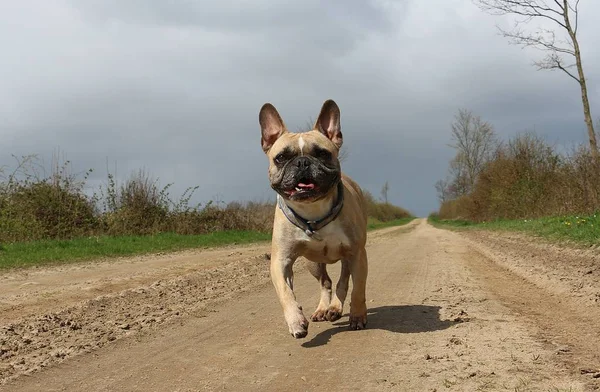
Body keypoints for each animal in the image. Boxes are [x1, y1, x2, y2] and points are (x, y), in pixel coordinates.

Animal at [258, 99, 368, 338]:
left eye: (322, 154)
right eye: (281, 158)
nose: (302, 162)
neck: (313, 209)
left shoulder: (357, 254)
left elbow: (358, 288)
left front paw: (357, 316)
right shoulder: (281, 261)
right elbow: (285, 292)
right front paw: (296, 321)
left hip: (348, 258)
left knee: (342, 281)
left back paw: (335, 308)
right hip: (313, 263)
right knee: (325, 282)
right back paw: (322, 309)